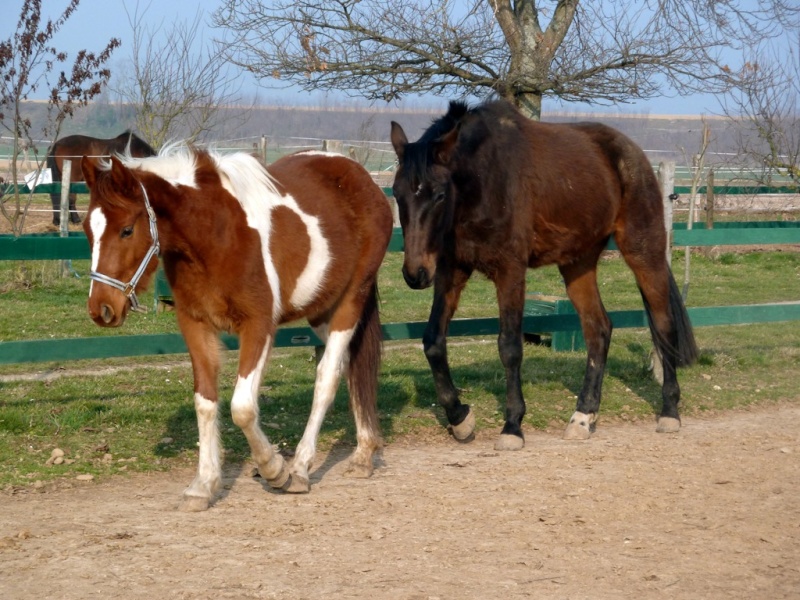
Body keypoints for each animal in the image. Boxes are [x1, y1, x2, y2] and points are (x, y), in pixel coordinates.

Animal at [82, 145, 394, 510]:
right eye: (87, 229)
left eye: (127, 230)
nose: (102, 309)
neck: (216, 235)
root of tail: (362, 178)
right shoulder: (195, 325)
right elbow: (205, 402)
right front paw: (203, 485)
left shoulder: (259, 325)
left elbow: (242, 408)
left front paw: (275, 469)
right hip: (321, 311)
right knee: (351, 367)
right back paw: (363, 454)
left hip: (350, 302)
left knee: (327, 378)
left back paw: (301, 468)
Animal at [390, 98, 696, 448]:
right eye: (397, 193)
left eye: (439, 194)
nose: (415, 273)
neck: (482, 181)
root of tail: (633, 153)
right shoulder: (450, 270)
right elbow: (433, 341)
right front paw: (460, 418)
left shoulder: (510, 271)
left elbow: (509, 346)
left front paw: (512, 425)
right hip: (577, 263)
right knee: (598, 330)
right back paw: (583, 416)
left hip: (643, 252)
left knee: (664, 325)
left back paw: (669, 411)